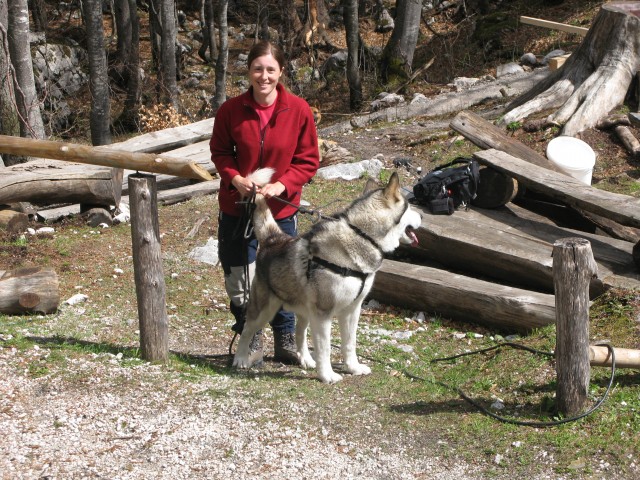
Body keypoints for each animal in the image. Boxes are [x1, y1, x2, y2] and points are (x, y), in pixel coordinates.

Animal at [232, 168, 422, 382]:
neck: (362, 236)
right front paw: (327, 375)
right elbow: (325, 348)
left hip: (305, 311)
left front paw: (353, 367)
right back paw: (240, 358)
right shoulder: (324, 313)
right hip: (265, 310)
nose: (422, 216)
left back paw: (306, 359)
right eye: (410, 208)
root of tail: (273, 238)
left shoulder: (352, 310)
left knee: (300, 333)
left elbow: (350, 344)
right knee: (247, 329)